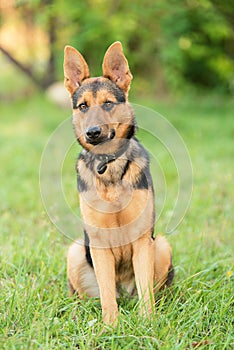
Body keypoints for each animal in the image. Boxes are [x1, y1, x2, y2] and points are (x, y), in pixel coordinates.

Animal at [63, 41, 173, 326]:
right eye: (83, 107)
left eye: (108, 104)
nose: (92, 133)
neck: (109, 167)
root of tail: (125, 292)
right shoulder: (99, 243)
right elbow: (106, 292)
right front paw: (110, 326)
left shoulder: (142, 238)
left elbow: (146, 290)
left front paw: (147, 323)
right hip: (76, 251)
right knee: (91, 295)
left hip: (161, 245)